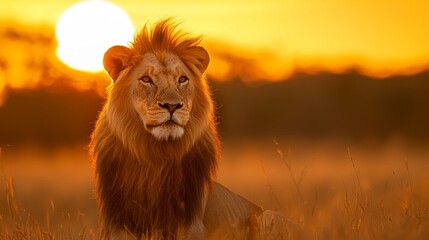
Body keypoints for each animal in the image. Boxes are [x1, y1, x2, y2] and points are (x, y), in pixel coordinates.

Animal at [90, 17, 290, 239]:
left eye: (182, 79)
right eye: (147, 79)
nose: (172, 106)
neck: (155, 155)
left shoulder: (191, 220)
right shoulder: (117, 221)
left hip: (270, 215)